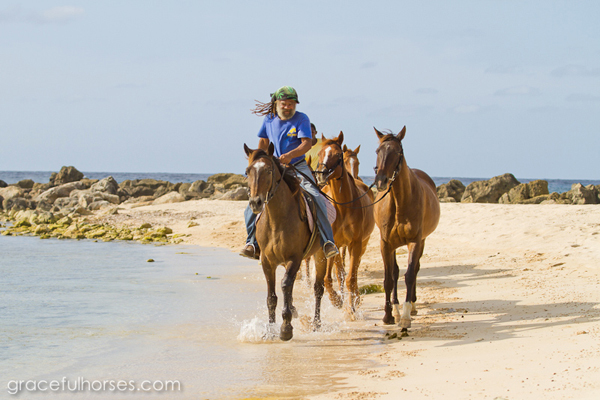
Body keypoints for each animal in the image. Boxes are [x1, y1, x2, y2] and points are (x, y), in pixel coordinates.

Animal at [244, 142, 328, 340]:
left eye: (268, 170)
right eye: (247, 171)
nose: (255, 203)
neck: (277, 219)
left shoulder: (294, 258)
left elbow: (285, 285)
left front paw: (286, 328)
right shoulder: (267, 262)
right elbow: (272, 296)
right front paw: (271, 329)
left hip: (321, 255)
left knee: (318, 288)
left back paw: (316, 323)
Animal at [314, 133, 376, 314]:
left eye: (337, 155)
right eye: (320, 153)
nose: (321, 175)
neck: (342, 206)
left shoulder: (355, 244)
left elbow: (351, 277)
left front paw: (352, 309)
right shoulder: (331, 244)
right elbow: (329, 278)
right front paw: (336, 300)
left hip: (362, 244)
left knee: (353, 271)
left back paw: (356, 298)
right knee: (339, 271)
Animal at [370, 126, 440, 330]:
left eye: (397, 152)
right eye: (378, 151)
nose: (381, 181)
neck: (400, 202)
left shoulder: (415, 241)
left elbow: (410, 275)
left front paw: (407, 316)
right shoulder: (385, 244)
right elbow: (388, 278)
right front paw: (388, 316)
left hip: (422, 241)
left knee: (415, 269)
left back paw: (413, 307)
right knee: (395, 272)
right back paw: (395, 309)